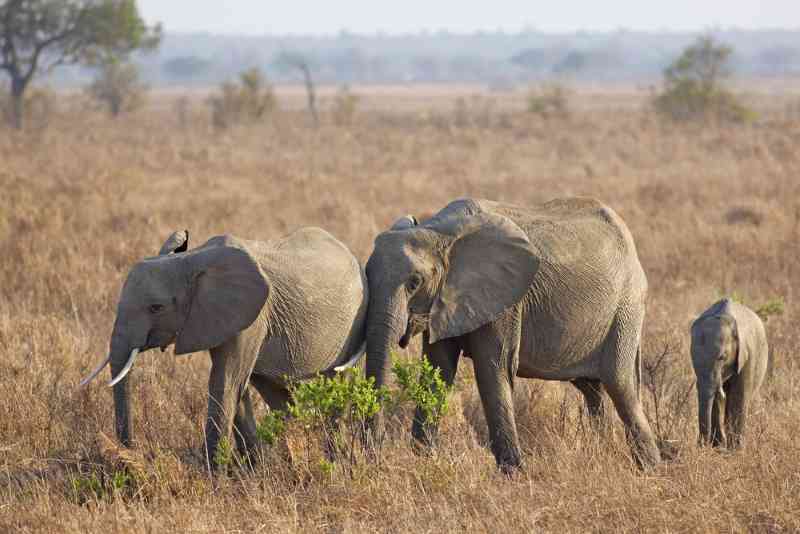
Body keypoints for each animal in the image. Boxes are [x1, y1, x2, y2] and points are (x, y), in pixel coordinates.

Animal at [81, 227, 368, 465]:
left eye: (156, 308)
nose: (129, 450)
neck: (192, 259)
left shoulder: (251, 317)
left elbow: (226, 381)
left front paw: (214, 474)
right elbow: (236, 385)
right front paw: (254, 469)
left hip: (355, 323)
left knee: (340, 380)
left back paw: (337, 459)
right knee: (273, 388)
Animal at [364, 197, 661, 471]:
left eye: (414, 283)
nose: (377, 453)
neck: (437, 233)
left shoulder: (505, 301)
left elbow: (493, 369)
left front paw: (514, 472)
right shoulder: (445, 301)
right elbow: (438, 368)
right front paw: (424, 460)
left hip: (626, 307)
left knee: (620, 385)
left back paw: (650, 468)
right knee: (593, 389)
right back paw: (601, 452)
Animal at [690, 298, 768, 449]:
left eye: (722, 357)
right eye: (692, 358)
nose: (701, 444)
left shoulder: (747, 354)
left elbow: (739, 395)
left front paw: (736, 450)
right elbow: (716, 398)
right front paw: (718, 447)